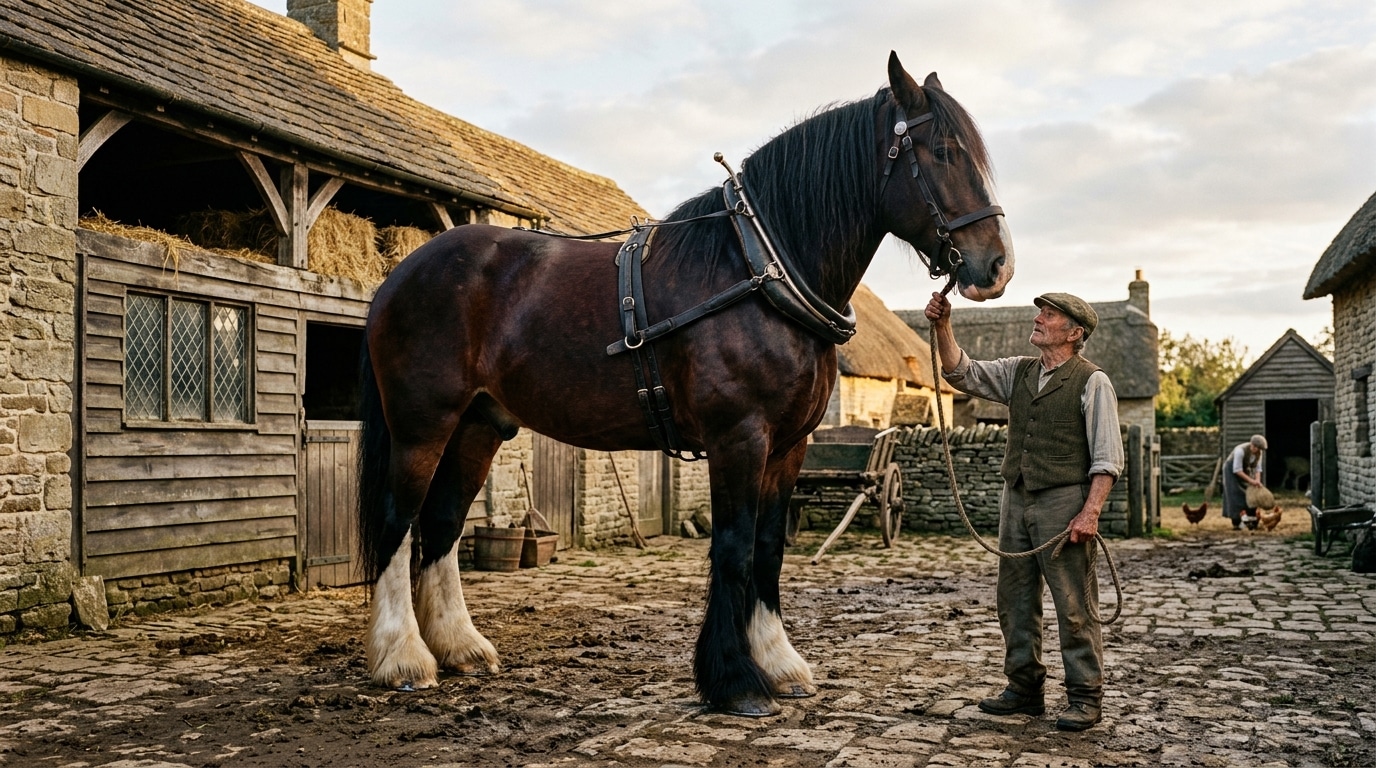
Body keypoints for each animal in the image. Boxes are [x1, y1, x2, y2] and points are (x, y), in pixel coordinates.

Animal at [357, 51, 1014, 717]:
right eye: (942, 151)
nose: (996, 265)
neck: (756, 271)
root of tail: (401, 272)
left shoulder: (788, 446)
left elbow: (768, 548)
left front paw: (778, 662)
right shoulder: (738, 437)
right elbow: (732, 547)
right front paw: (735, 679)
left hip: (479, 425)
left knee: (442, 525)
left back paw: (460, 648)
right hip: (421, 425)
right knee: (396, 522)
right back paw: (402, 658)